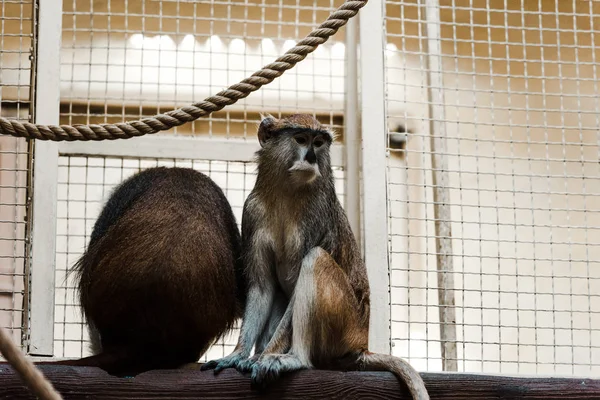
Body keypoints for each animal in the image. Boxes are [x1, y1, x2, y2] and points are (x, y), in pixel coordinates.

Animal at [204, 115, 428, 400]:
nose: (311, 157)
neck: (286, 193)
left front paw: (266, 356)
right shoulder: (252, 212)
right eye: (301, 139)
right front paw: (237, 355)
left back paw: (294, 358)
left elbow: (299, 280)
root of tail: (361, 345)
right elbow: (262, 288)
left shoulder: (316, 215)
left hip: (345, 326)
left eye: (319, 142)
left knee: (316, 259)